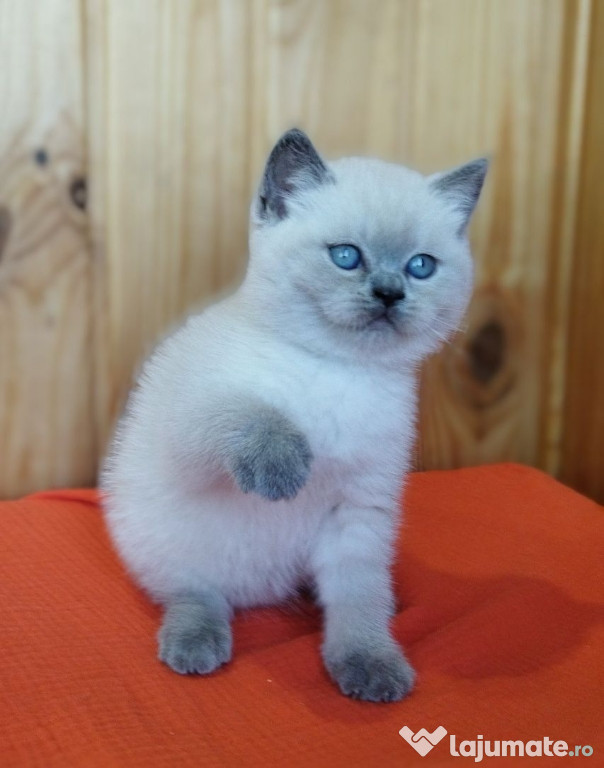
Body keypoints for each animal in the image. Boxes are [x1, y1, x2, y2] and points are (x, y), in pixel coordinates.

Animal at [100, 127, 486, 704]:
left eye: (421, 266)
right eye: (346, 256)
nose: (389, 294)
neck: (340, 370)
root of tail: (258, 594)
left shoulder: (360, 509)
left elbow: (357, 601)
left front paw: (370, 664)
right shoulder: (191, 416)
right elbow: (252, 413)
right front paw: (283, 470)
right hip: (166, 539)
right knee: (194, 592)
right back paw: (196, 643)